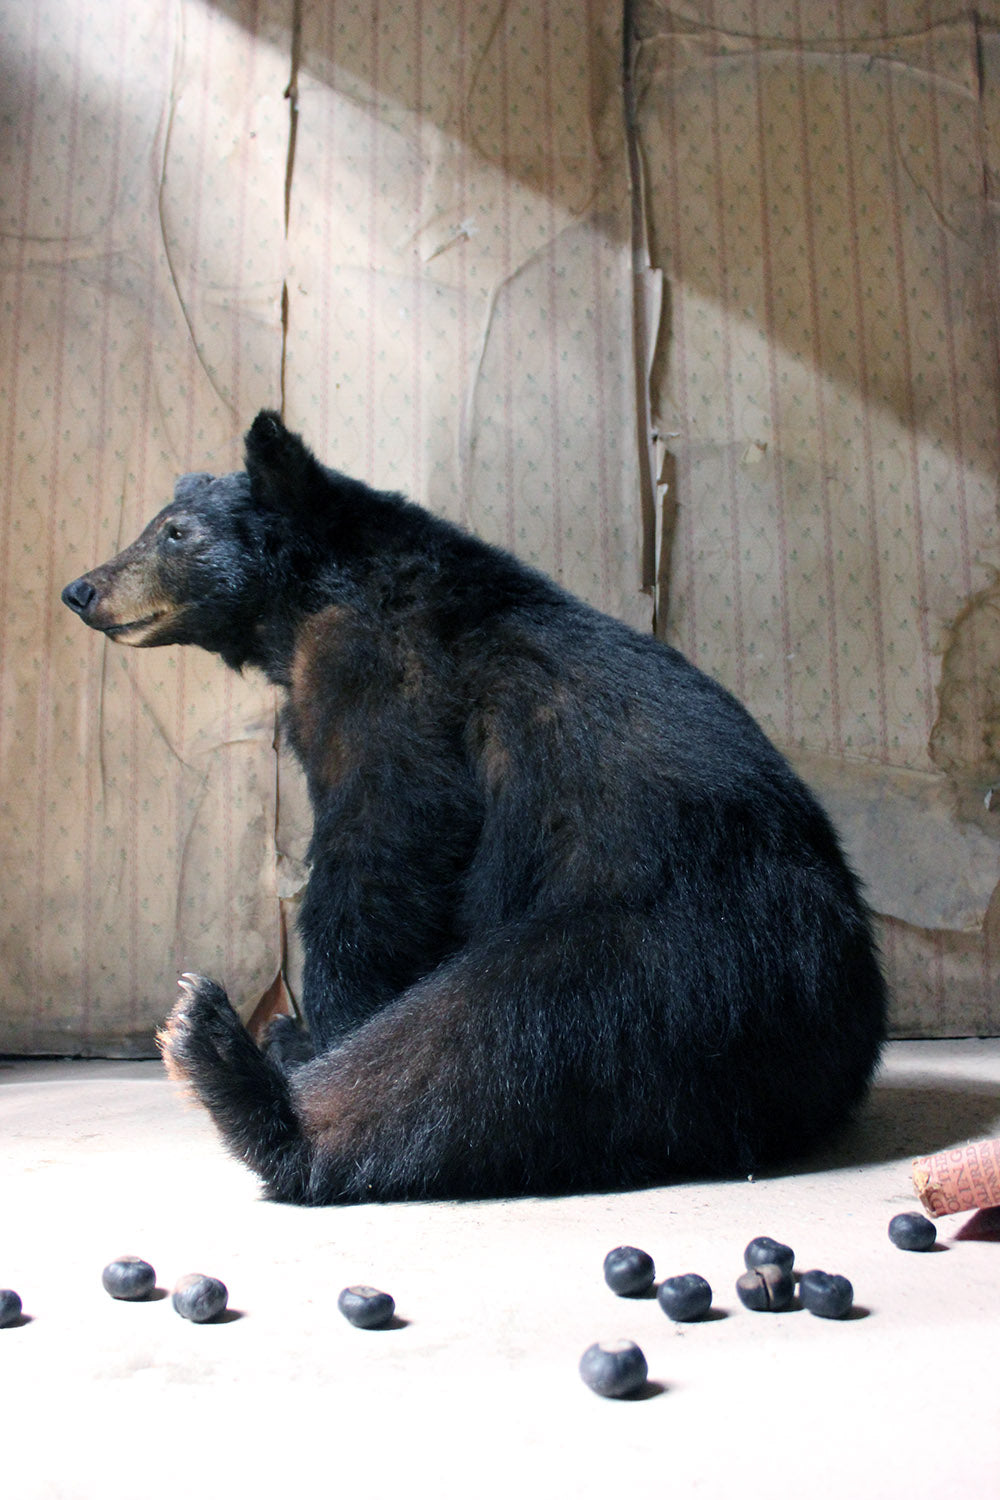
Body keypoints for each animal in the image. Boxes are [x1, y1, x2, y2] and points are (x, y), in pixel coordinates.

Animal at [62, 410, 887, 1205]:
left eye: (175, 531)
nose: (82, 589)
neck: (304, 601)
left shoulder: (388, 676)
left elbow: (386, 836)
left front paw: (327, 1020)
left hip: (679, 953)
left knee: (496, 1036)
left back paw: (237, 1069)